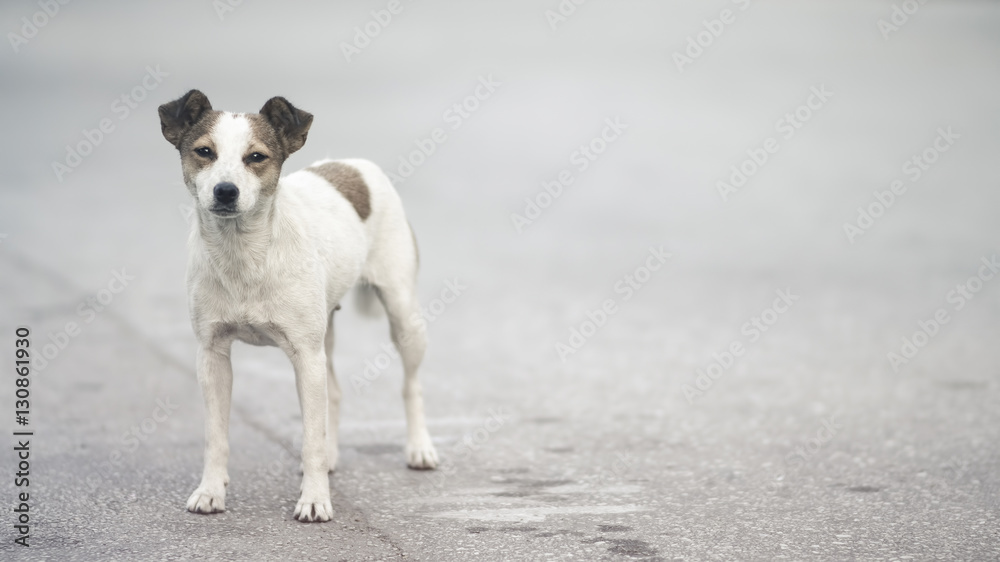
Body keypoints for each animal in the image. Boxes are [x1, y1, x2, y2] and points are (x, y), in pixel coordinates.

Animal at [157, 88, 438, 520]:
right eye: (204, 151)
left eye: (256, 157)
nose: (225, 191)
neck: (245, 254)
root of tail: (354, 164)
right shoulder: (213, 355)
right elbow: (215, 435)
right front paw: (210, 491)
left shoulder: (306, 356)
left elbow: (311, 438)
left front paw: (315, 499)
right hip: (327, 333)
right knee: (334, 392)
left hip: (403, 316)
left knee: (411, 385)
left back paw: (419, 448)